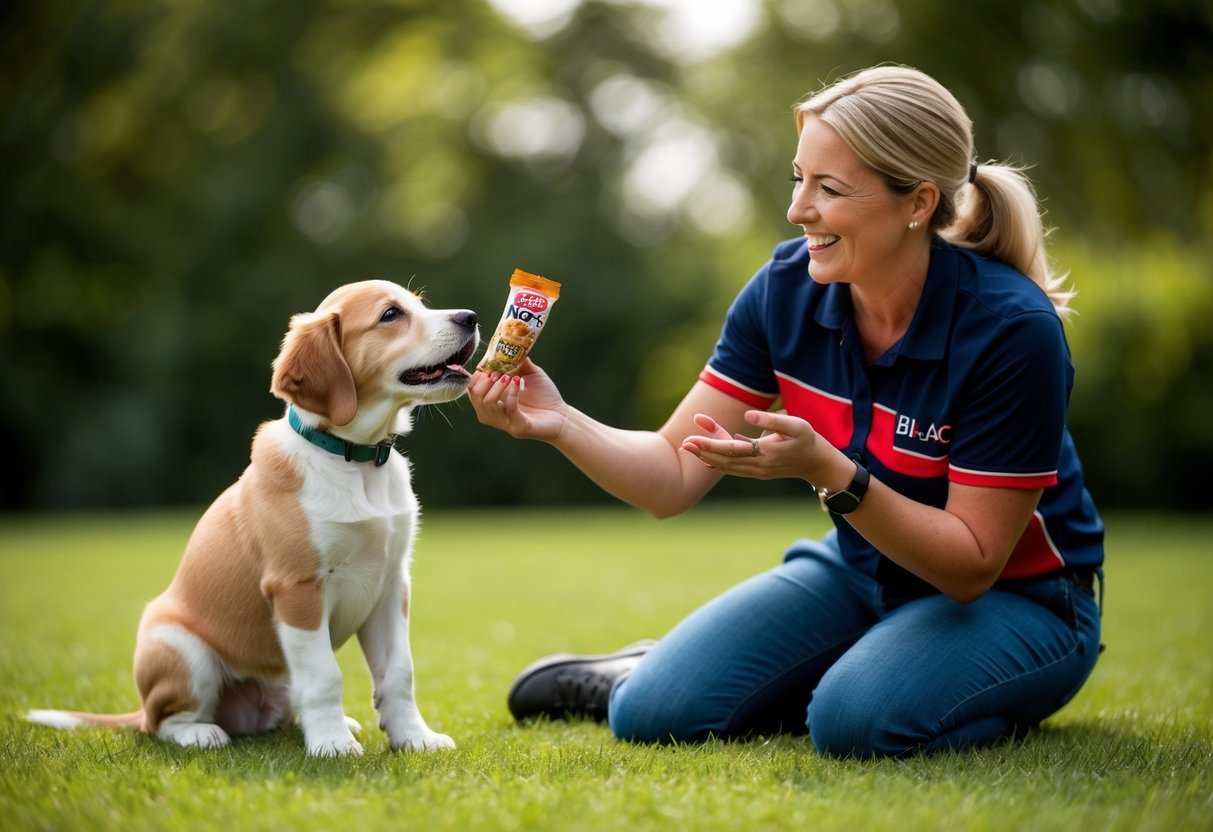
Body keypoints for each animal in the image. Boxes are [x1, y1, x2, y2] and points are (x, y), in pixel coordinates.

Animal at [26, 283, 475, 761]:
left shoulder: (390, 585)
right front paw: (333, 746)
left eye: (420, 302)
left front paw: (415, 738)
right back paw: (202, 734)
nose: (470, 317)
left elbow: (399, 673)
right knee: (162, 722)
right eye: (391, 314)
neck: (354, 460)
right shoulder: (297, 588)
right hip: (179, 647)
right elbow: (325, 675)